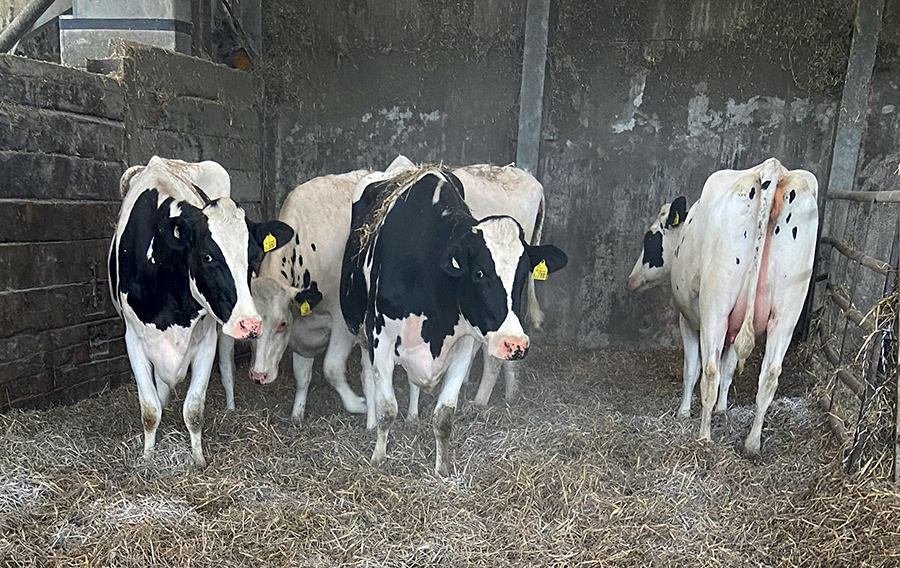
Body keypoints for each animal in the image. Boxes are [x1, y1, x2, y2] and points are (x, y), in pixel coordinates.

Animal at [107, 156, 292, 466]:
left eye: (254, 257)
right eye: (207, 256)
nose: (250, 323)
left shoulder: (206, 340)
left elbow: (194, 410)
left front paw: (198, 458)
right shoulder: (133, 339)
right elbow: (150, 409)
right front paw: (148, 457)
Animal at [342, 164, 568, 474]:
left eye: (523, 275)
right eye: (479, 273)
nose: (515, 344)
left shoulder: (463, 345)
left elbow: (444, 416)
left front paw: (443, 468)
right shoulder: (381, 338)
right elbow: (387, 407)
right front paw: (378, 458)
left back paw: (413, 416)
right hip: (360, 327)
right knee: (369, 375)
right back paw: (371, 423)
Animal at [624, 156, 816, 458]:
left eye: (651, 239)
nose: (631, 280)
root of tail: (772, 169)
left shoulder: (689, 320)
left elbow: (693, 369)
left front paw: (684, 412)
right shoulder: (736, 328)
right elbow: (729, 368)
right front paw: (723, 411)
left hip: (716, 306)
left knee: (710, 371)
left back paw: (704, 437)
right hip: (786, 313)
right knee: (769, 374)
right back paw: (752, 444)